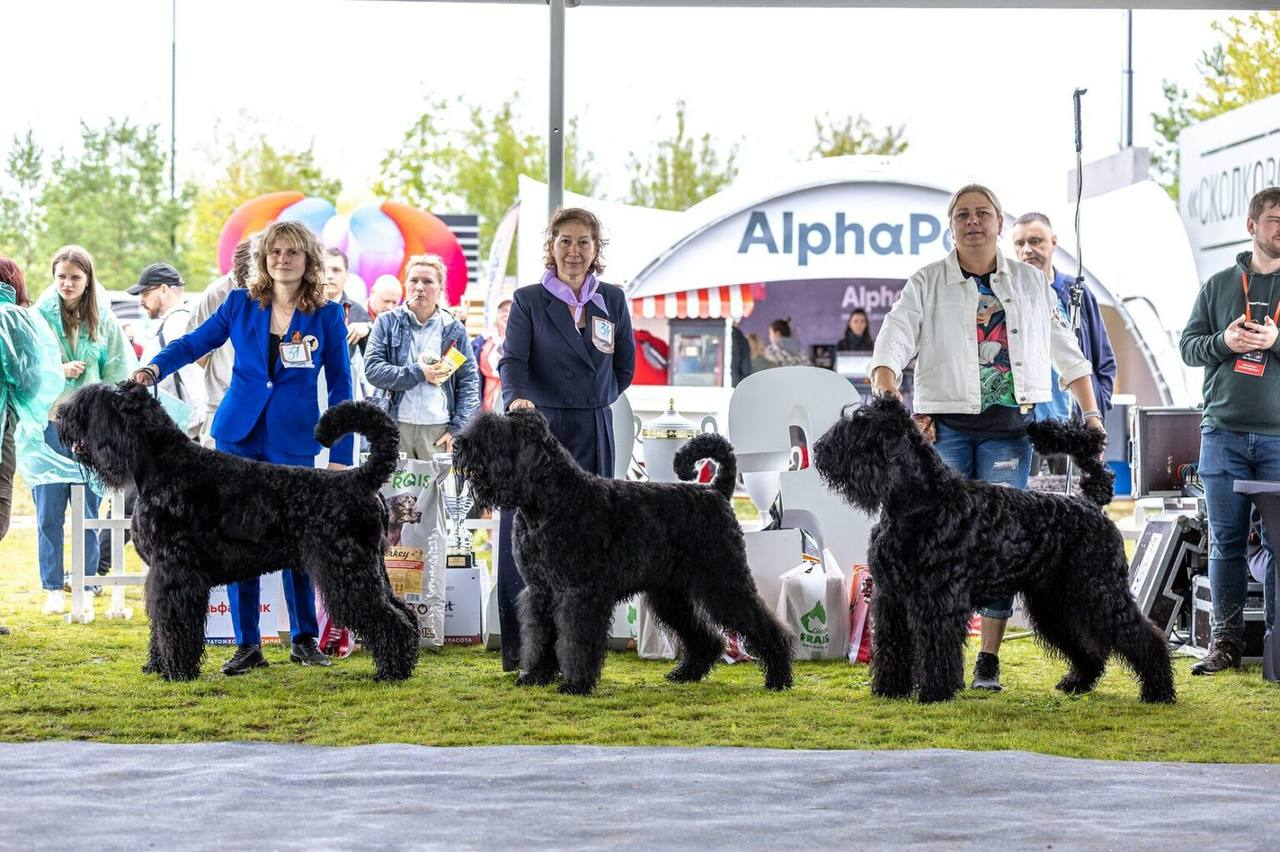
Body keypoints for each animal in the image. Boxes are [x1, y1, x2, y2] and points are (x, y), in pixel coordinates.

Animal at [56, 381, 419, 680]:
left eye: (94, 403)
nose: (59, 416)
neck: (164, 466)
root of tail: (361, 478)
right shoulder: (161, 575)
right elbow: (160, 623)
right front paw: (156, 666)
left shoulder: (175, 573)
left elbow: (173, 623)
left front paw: (178, 671)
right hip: (372, 570)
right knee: (404, 613)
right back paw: (405, 663)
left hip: (348, 573)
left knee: (391, 619)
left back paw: (391, 672)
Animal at [450, 409, 788, 695]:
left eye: (499, 433)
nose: (458, 445)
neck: (552, 500)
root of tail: (716, 491)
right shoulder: (540, 591)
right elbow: (538, 635)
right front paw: (534, 675)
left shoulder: (580, 593)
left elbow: (576, 639)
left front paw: (575, 684)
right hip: (670, 594)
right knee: (705, 636)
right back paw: (686, 673)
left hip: (724, 581)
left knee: (765, 625)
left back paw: (779, 677)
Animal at [814, 399, 1172, 701]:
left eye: (862, 426)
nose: (820, 448)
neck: (920, 501)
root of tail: (1091, 503)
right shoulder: (890, 597)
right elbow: (892, 646)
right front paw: (889, 689)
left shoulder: (936, 599)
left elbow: (935, 648)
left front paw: (935, 692)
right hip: (1055, 602)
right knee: (1086, 645)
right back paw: (1077, 681)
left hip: (1099, 590)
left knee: (1143, 636)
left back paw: (1158, 690)